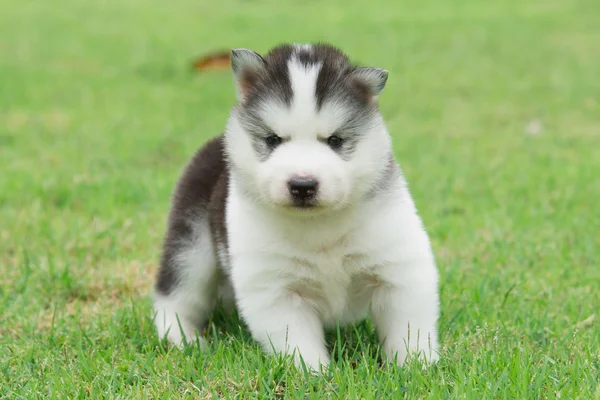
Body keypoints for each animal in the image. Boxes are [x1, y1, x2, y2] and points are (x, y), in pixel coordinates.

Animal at [152, 42, 438, 370]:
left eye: (335, 140)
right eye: (272, 139)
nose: (302, 185)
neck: (319, 226)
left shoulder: (398, 267)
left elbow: (409, 327)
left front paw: (415, 367)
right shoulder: (275, 287)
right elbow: (296, 341)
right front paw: (315, 373)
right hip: (192, 247)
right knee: (176, 296)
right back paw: (183, 339)